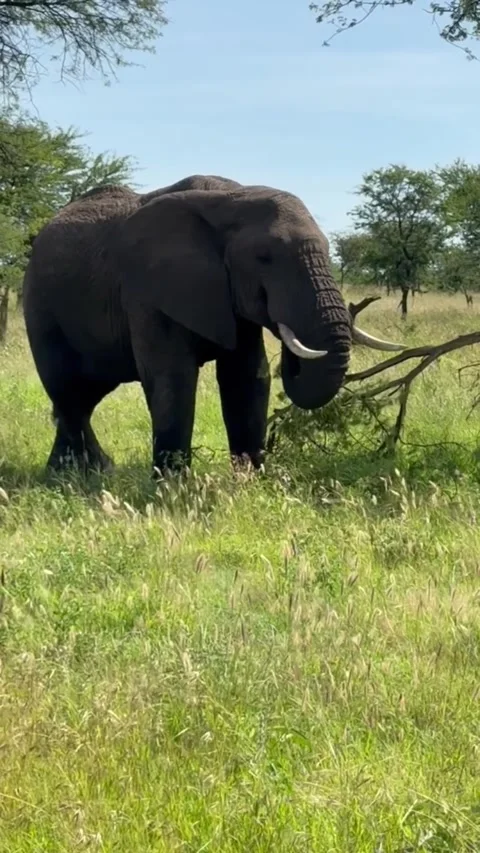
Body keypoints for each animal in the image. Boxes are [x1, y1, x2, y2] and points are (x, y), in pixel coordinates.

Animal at [23, 173, 403, 475]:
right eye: (264, 258)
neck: (232, 197)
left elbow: (248, 376)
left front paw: (252, 482)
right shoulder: (149, 289)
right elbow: (173, 378)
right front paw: (173, 490)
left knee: (84, 395)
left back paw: (88, 471)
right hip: (40, 308)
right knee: (67, 390)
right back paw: (74, 476)